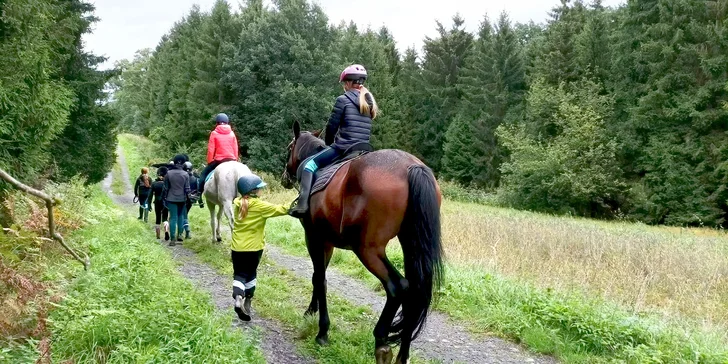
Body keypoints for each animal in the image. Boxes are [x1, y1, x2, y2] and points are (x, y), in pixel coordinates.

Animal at [282, 121, 444, 364]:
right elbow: (317, 276)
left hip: (367, 249)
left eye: (289, 147)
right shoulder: (327, 242)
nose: (284, 176)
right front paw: (311, 311)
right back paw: (402, 354)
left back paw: (381, 341)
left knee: (398, 286)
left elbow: (320, 279)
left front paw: (322, 330)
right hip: (410, 247)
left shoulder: (313, 237)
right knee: (414, 291)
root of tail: (412, 167)